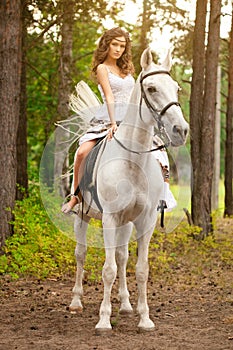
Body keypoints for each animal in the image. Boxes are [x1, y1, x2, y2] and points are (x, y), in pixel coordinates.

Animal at [69, 47, 189, 332]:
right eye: (152, 88)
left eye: (177, 88)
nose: (181, 130)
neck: (132, 161)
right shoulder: (110, 219)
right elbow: (108, 269)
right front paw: (103, 320)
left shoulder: (145, 220)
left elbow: (141, 268)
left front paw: (144, 318)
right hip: (82, 216)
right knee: (81, 254)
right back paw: (76, 302)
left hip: (125, 222)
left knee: (122, 257)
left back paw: (124, 305)